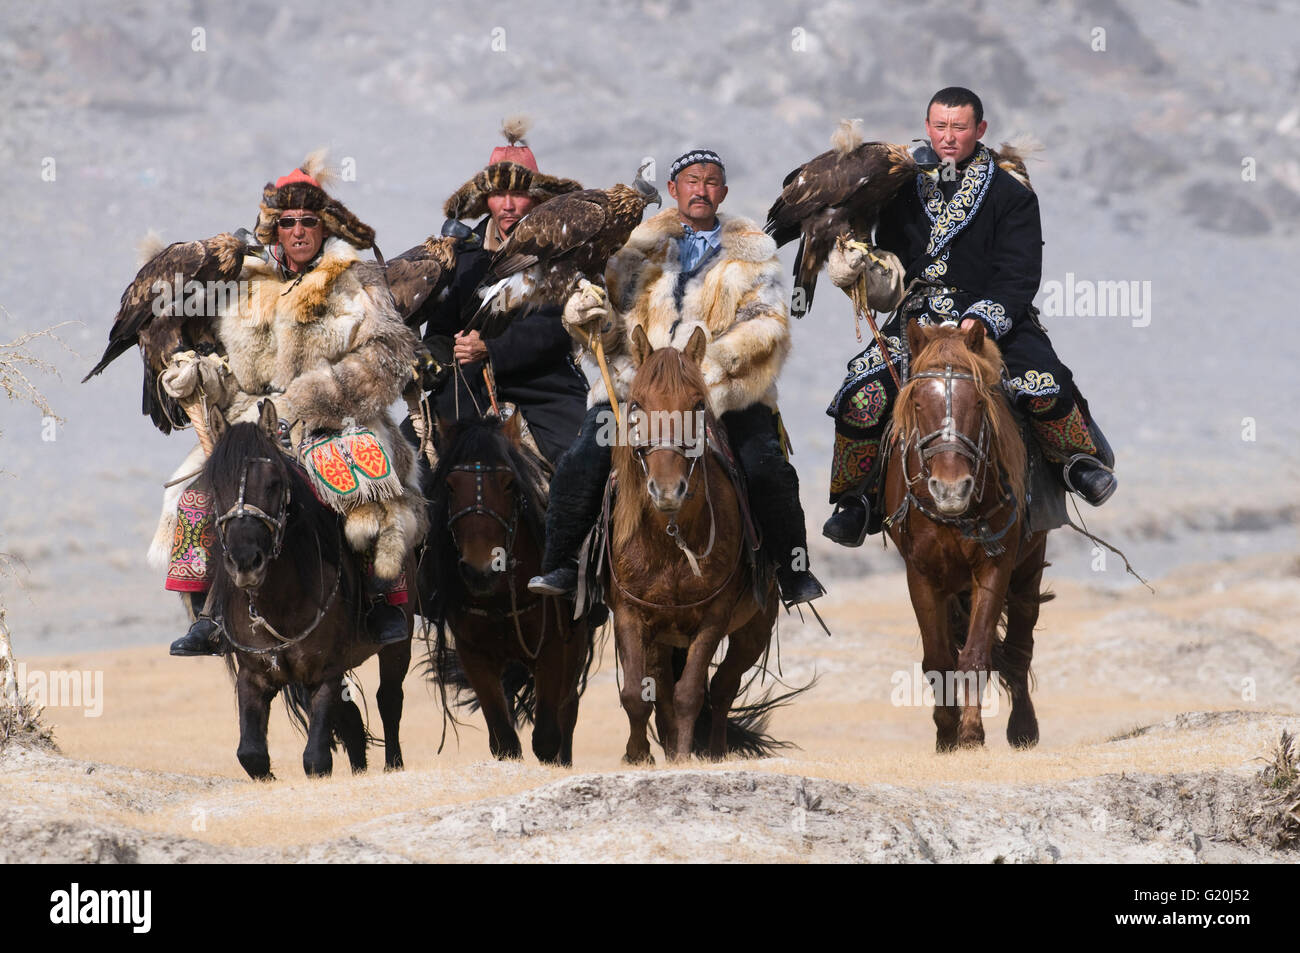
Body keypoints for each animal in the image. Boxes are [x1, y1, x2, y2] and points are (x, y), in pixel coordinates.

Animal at [202, 397, 410, 774]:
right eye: (215, 485)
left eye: (273, 483)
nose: (245, 561)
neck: (279, 603)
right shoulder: (253, 675)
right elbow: (251, 755)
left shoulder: (324, 673)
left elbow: (316, 760)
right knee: (353, 722)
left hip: (398, 644)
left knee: (389, 700)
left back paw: (393, 766)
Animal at [421, 408, 595, 764]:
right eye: (450, 485)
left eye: (509, 483)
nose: (481, 571)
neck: (501, 598)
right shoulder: (475, 656)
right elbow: (504, 741)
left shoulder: (554, 649)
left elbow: (548, 737)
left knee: (567, 712)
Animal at [605, 323, 785, 764]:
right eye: (636, 404)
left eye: (698, 404)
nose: (668, 490)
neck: (670, 541)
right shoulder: (630, 614)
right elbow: (636, 694)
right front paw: (638, 756)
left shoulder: (714, 619)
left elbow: (690, 694)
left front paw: (685, 757)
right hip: (663, 639)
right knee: (664, 693)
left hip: (753, 631)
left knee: (721, 690)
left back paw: (714, 751)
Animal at [878, 319, 1050, 748]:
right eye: (917, 403)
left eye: (978, 403)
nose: (952, 489)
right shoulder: (921, 573)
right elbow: (939, 660)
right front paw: (946, 735)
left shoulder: (994, 565)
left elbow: (974, 653)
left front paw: (971, 734)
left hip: (1029, 565)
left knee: (1020, 645)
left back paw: (1023, 728)